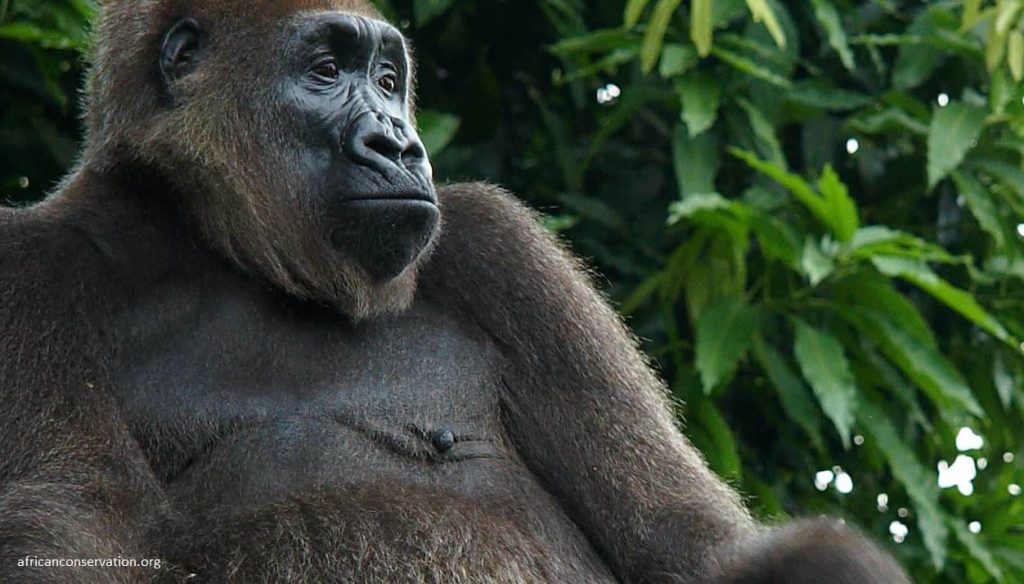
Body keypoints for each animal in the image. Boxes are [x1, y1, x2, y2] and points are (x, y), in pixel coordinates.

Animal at [0, 1, 909, 582]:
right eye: (325, 70)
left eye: (388, 79)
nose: (399, 144)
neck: (223, 248)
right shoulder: (29, 272)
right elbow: (71, 535)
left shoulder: (499, 250)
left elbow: (683, 538)